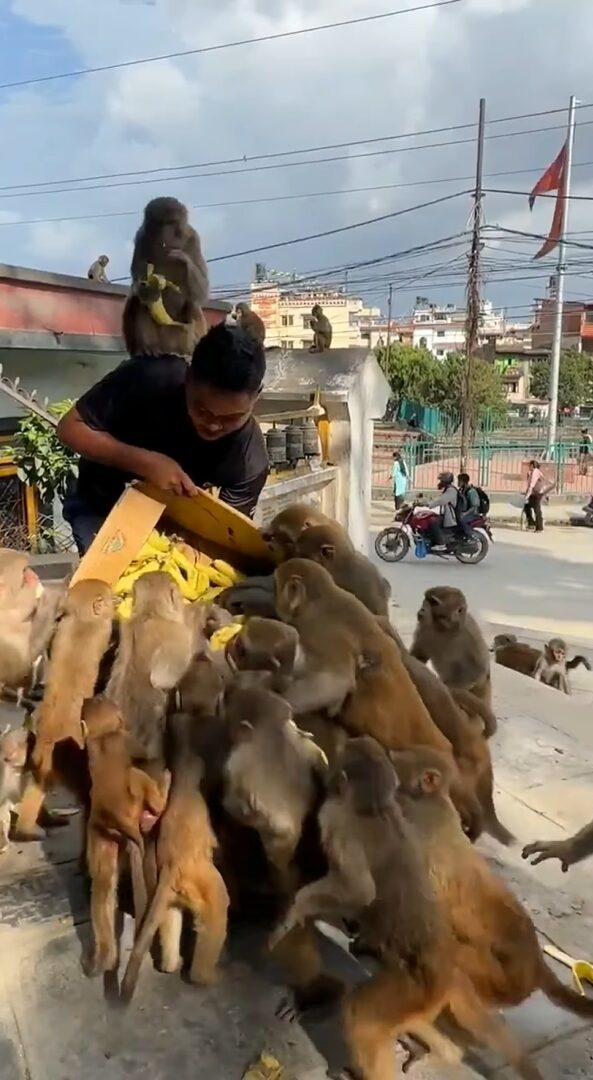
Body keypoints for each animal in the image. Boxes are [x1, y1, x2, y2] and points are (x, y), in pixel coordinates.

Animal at [15, 578, 113, 838]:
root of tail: (48, 737)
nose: (115, 596)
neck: (81, 619)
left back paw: (32, 826)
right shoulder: (101, 628)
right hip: (73, 752)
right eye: (107, 594)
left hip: (40, 755)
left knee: (36, 785)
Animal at [82, 695, 167, 984]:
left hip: (99, 835)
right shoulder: (126, 738)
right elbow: (145, 755)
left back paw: (106, 958)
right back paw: (159, 800)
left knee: (102, 885)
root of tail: (116, 821)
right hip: (132, 804)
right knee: (136, 775)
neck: (103, 734)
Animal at [120, 708, 228, 1002]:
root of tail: (172, 866)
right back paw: (203, 977)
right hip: (203, 881)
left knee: (169, 918)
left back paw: (170, 964)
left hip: (172, 894)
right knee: (217, 911)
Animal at [121, 195, 209, 358]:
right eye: (160, 224)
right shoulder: (141, 237)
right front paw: (149, 289)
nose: (165, 234)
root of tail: (168, 349)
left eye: (171, 223)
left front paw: (182, 257)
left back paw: (187, 352)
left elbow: (203, 289)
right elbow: (138, 281)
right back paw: (148, 347)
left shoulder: (194, 238)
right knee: (138, 301)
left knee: (192, 303)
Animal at [393, 747, 593, 1032]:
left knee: (459, 955)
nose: (389, 754)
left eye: (397, 759)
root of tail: (535, 961)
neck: (429, 801)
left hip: (502, 981)